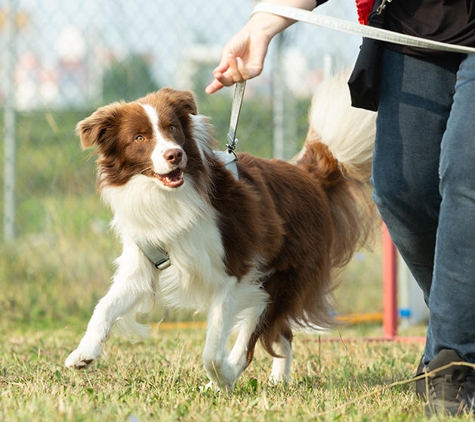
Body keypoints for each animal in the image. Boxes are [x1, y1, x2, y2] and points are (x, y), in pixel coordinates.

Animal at [66, 71, 376, 390]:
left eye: (172, 128)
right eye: (139, 137)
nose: (175, 155)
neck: (170, 196)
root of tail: (308, 175)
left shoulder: (234, 273)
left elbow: (212, 349)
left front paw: (223, 375)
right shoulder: (143, 263)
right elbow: (104, 306)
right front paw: (84, 352)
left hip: (279, 278)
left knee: (256, 335)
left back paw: (230, 375)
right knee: (281, 333)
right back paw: (278, 379)